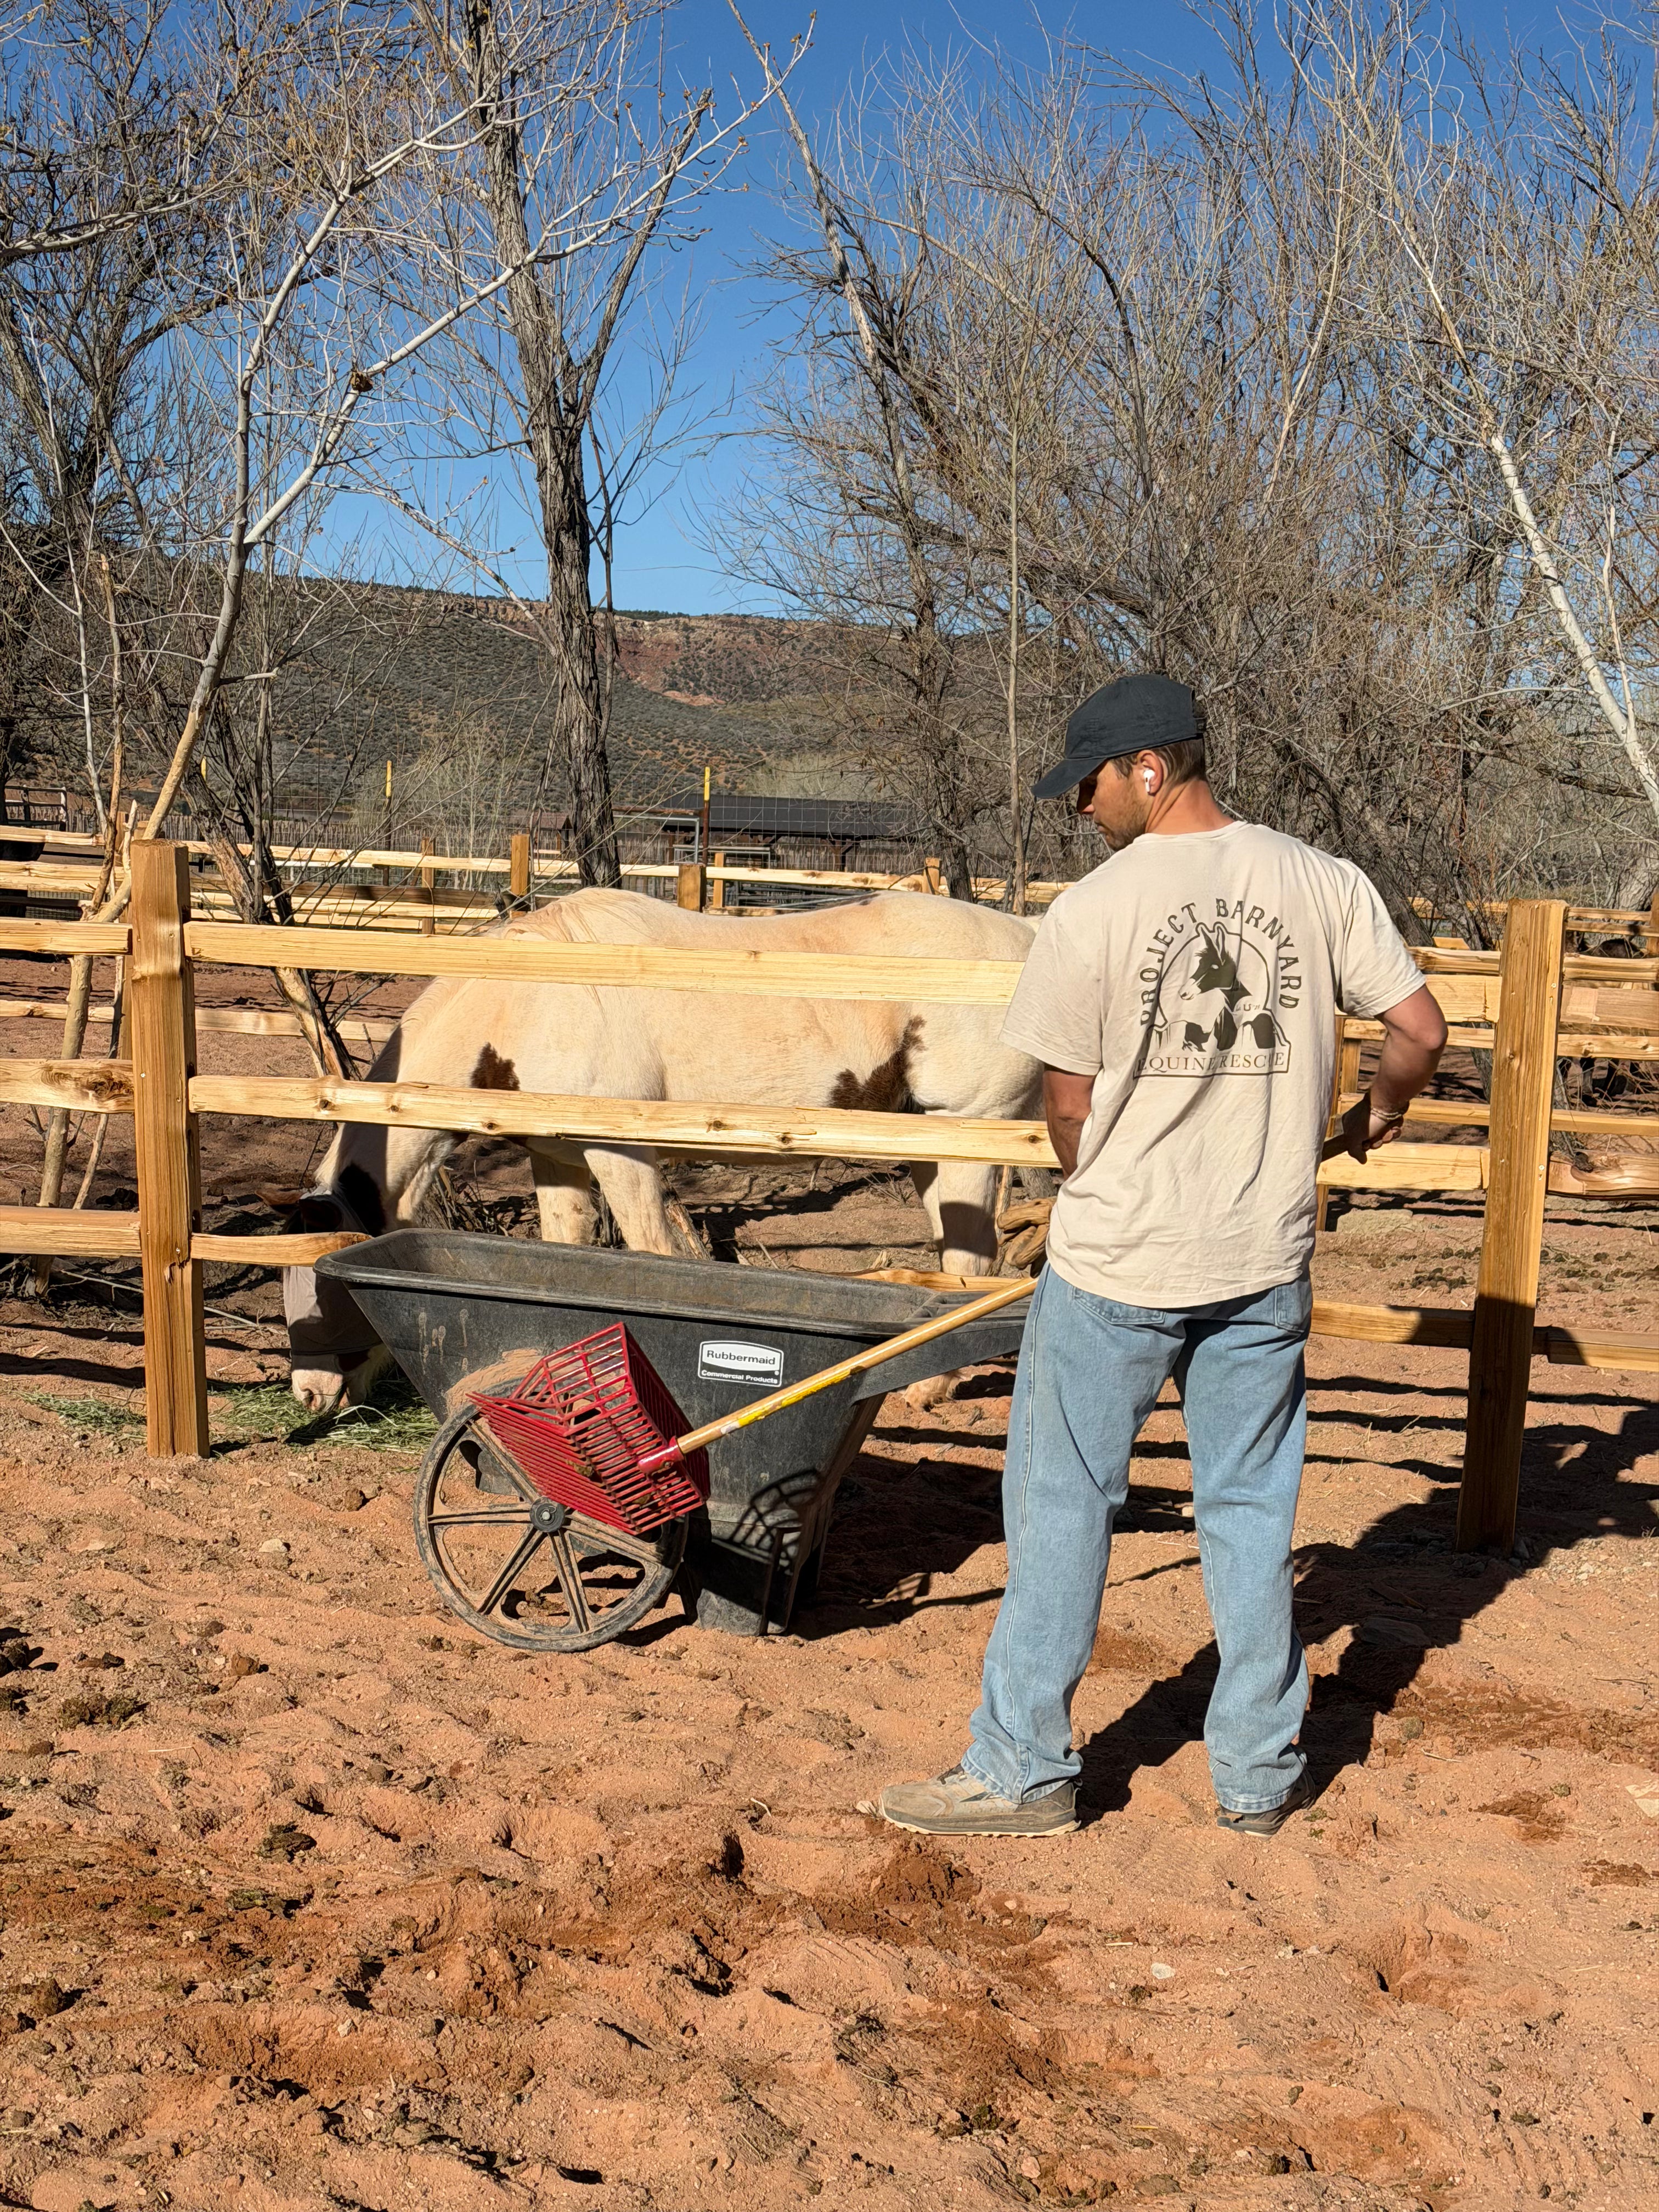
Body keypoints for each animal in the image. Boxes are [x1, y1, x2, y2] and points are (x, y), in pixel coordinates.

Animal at [284, 887, 1043, 1411]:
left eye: (331, 1289)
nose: (309, 1393)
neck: (533, 997)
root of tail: (1032, 936)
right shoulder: (557, 1160)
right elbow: (562, 1256)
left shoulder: (623, 1157)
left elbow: (650, 1256)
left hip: (969, 1137)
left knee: (970, 1264)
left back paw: (927, 1391)